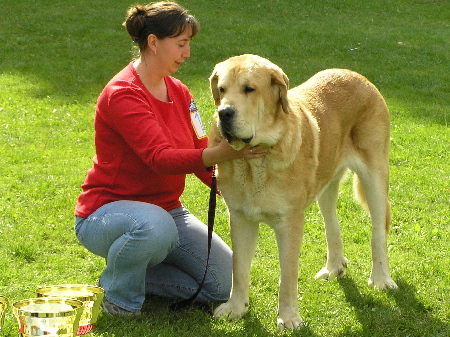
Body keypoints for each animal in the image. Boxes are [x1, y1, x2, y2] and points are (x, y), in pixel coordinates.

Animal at [207, 53, 398, 330]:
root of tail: (357, 76)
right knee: (332, 225)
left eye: (249, 89)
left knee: (378, 233)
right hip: (326, 186)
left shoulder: (290, 223)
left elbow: (288, 275)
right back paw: (333, 267)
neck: (258, 161)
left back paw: (381, 278)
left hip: (375, 177)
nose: (224, 113)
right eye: (221, 90)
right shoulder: (241, 219)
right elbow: (239, 268)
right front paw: (236, 308)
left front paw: (288, 317)